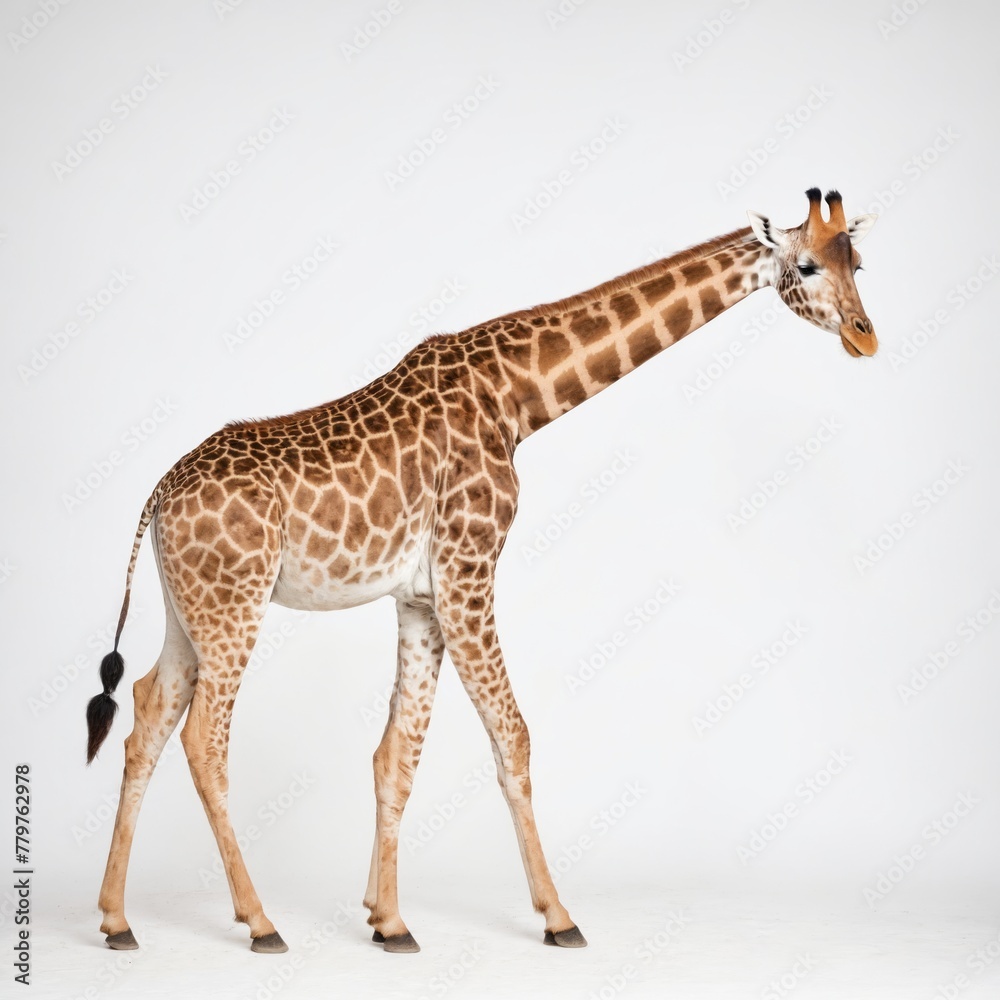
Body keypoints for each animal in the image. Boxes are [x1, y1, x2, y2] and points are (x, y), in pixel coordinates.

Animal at [86, 188, 877, 955]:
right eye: (807, 266)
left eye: (858, 262)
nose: (866, 335)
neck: (518, 397)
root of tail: (158, 494)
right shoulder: (469, 569)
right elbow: (511, 735)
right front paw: (557, 916)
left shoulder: (419, 596)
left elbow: (397, 753)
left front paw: (386, 919)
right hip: (235, 604)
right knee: (203, 739)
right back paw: (260, 922)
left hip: (189, 609)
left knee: (147, 713)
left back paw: (117, 920)